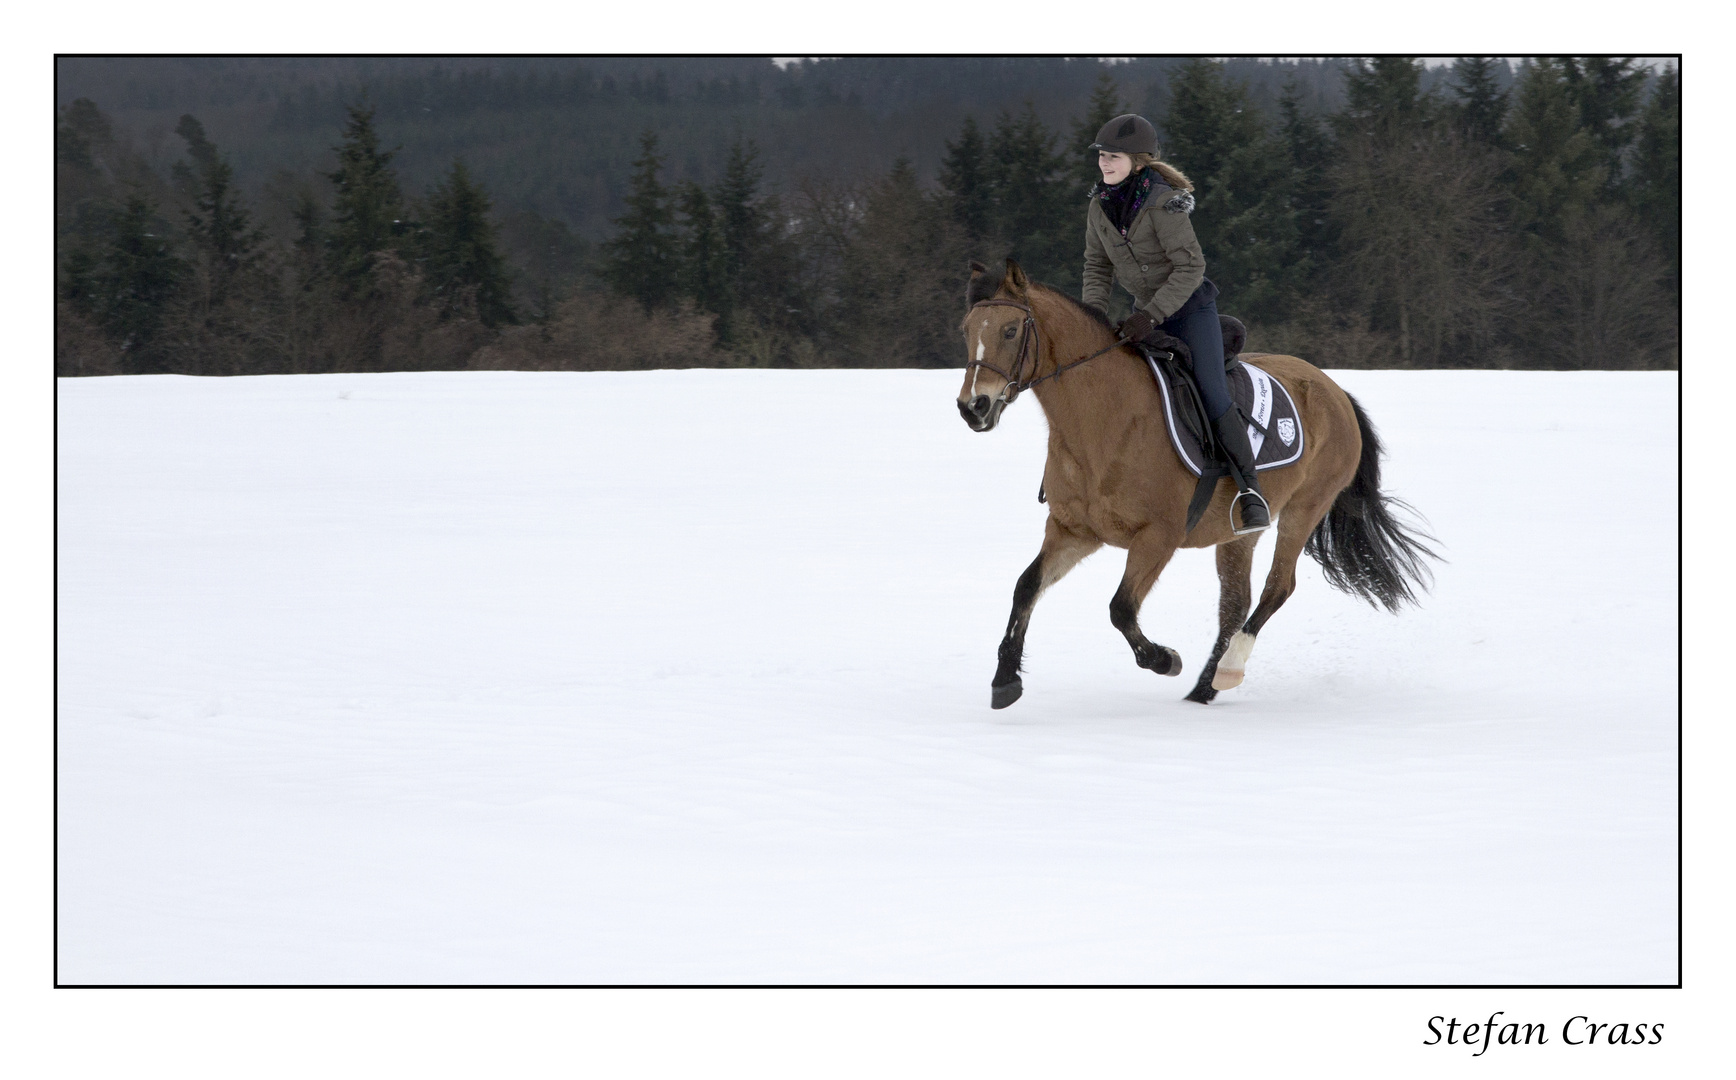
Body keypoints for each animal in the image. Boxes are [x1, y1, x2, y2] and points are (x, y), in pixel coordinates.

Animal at [958, 262, 1430, 711]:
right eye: (966, 329)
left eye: (1010, 330)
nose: (972, 407)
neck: (1105, 420)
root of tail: (1335, 390)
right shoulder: (1073, 531)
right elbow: (1026, 587)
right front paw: (1005, 679)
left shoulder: (1158, 537)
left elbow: (1121, 609)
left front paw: (1165, 659)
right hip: (1239, 532)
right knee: (1236, 604)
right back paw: (1204, 689)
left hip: (1305, 508)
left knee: (1278, 588)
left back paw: (1229, 669)